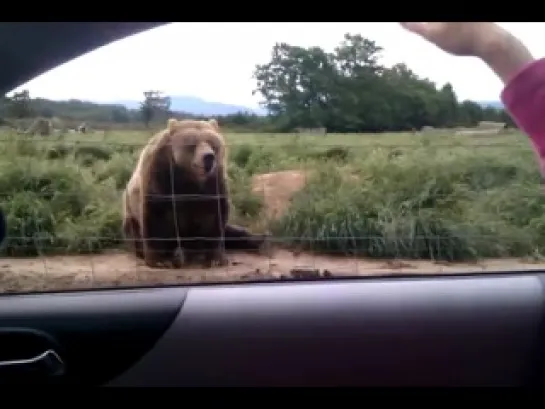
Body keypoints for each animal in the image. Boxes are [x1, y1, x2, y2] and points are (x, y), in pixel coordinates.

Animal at [122, 117, 268, 268]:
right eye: (192, 144)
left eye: (212, 143)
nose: (208, 157)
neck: (190, 178)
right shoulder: (160, 178)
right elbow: (156, 216)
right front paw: (160, 260)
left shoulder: (213, 183)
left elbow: (214, 217)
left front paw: (216, 259)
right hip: (130, 216)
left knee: (231, 231)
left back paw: (259, 239)